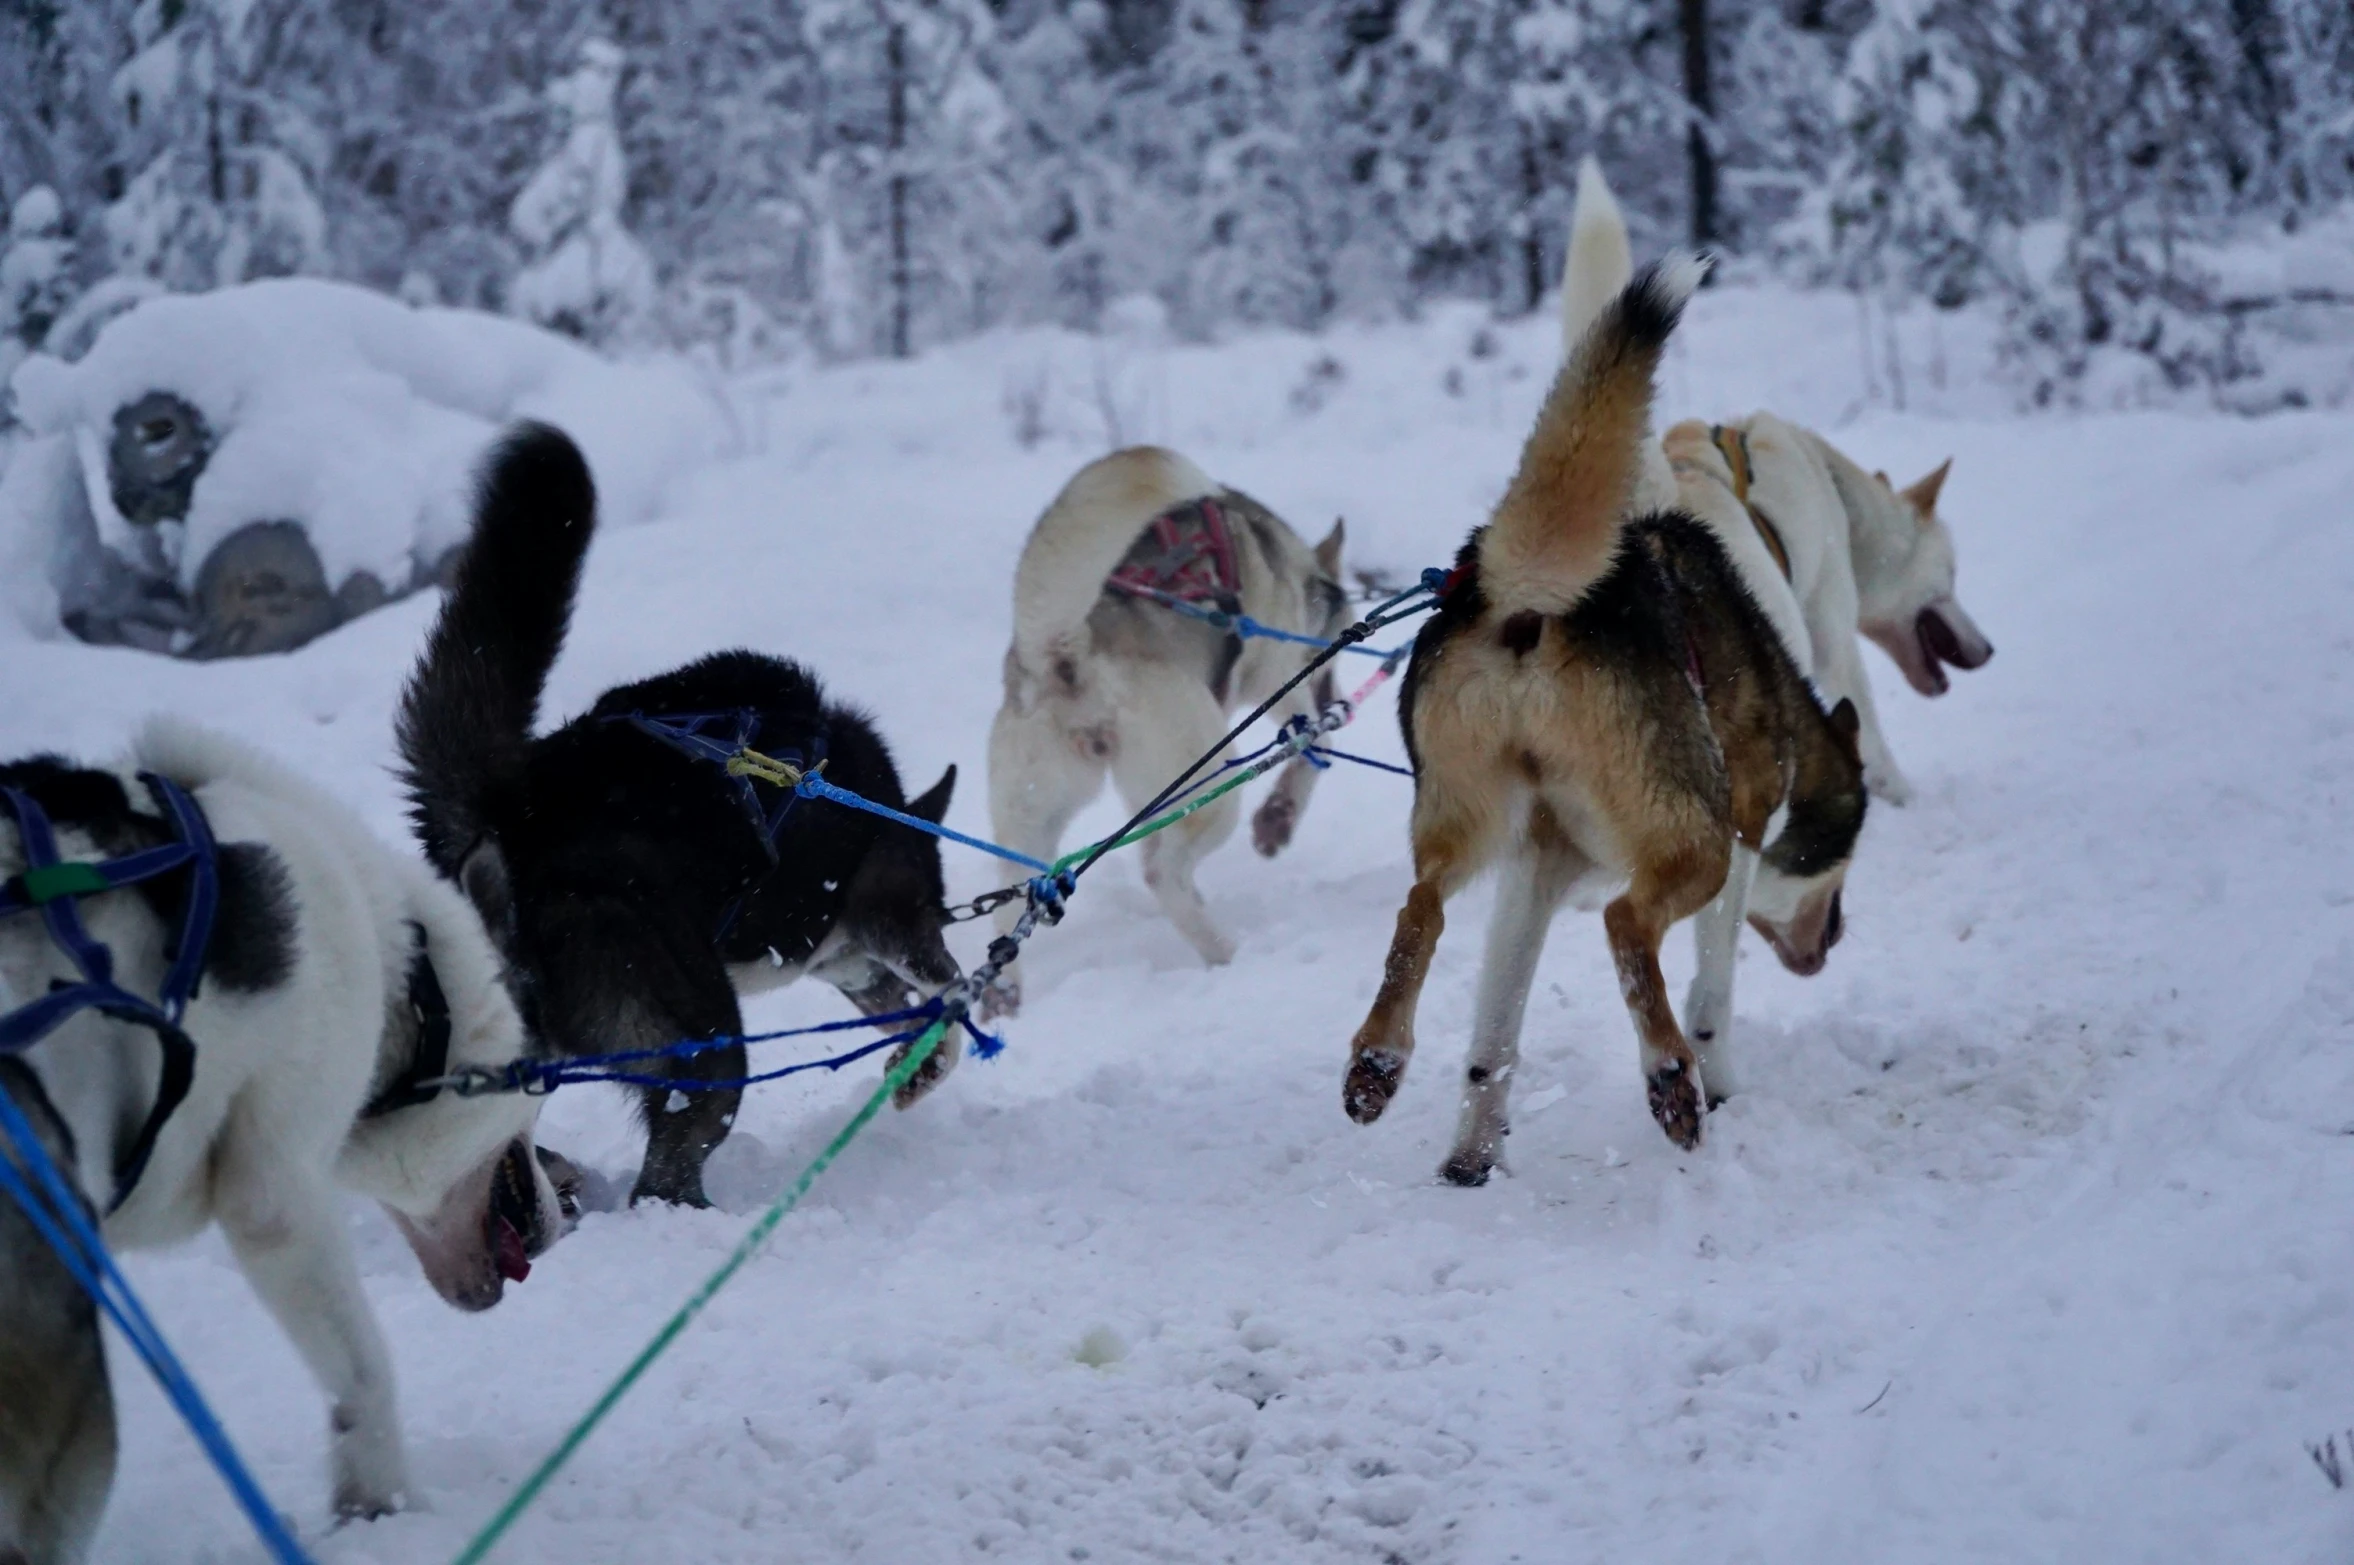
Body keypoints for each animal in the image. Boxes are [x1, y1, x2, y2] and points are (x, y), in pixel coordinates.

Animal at [1346, 258, 1873, 1186]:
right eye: (1839, 866)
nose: (1835, 935)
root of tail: (1525, 597)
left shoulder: (1528, 875)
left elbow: (1493, 1043)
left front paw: (1472, 1155)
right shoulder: (1739, 843)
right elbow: (1710, 992)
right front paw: (1718, 1080)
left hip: (1463, 817)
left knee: (1421, 906)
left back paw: (1377, 1061)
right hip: (1691, 840)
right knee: (1627, 926)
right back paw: (1671, 1081)